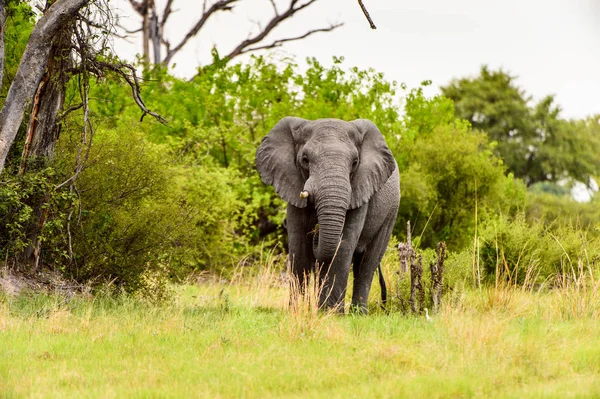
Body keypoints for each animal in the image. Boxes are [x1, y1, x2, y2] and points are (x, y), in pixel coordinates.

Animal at [253, 117, 398, 314]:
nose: (316, 232)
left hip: (391, 212)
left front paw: (330, 314)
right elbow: (299, 247)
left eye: (355, 162)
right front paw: (298, 311)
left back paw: (358, 313)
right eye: (305, 160)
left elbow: (342, 246)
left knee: (368, 263)